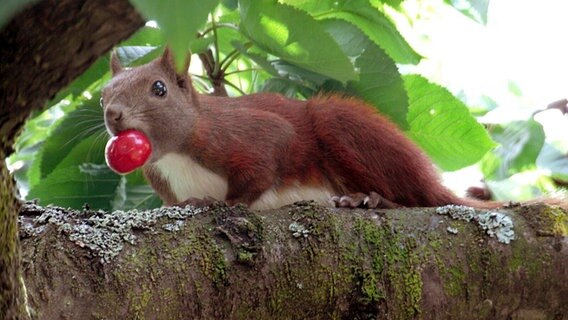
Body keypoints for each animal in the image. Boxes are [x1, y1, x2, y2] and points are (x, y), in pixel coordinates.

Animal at [102, 48, 510, 211]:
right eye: (103, 94)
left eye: (159, 88)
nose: (112, 114)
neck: (174, 156)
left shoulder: (242, 134)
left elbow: (261, 168)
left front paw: (224, 203)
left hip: (345, 130)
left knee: (414, 199)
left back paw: (370, 199)